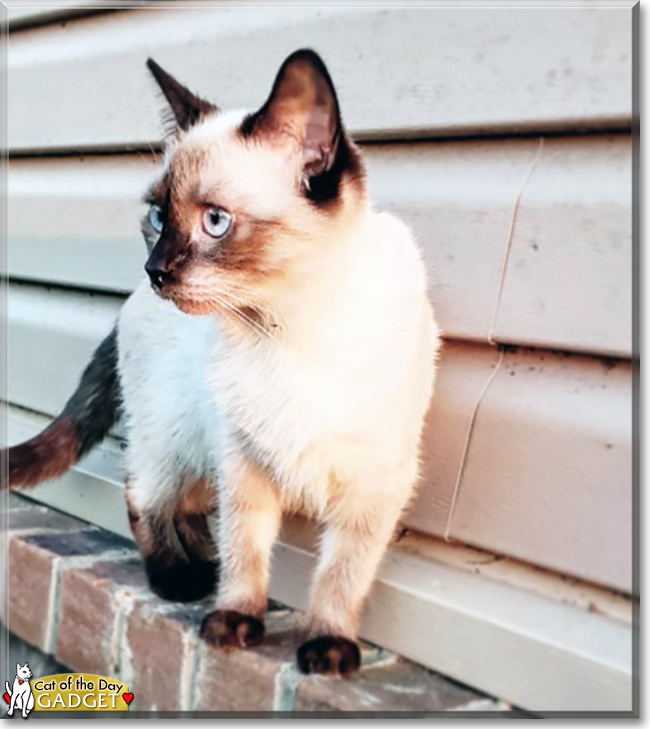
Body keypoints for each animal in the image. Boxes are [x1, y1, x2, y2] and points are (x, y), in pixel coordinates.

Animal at [1, 49, 440, 676]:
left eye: (215, 221)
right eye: (158, 217)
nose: (155, 271)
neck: (287, 328)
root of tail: (126, 304)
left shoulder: (373, 487)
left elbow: (342, 574)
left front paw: (328, 647)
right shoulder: (244, 464)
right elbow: (247, 551)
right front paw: (234, 620)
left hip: (200, 449)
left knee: (183, 506)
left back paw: (199, 565)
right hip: (177, 435)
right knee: (142, 492)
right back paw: (181, 580)